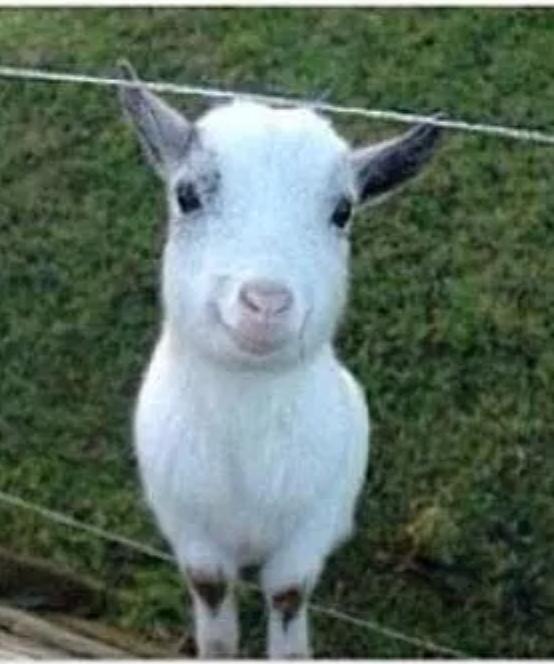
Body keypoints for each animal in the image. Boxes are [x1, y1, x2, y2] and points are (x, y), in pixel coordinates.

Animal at [119, 66, 440, 658]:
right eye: (187, 194)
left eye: (343, 210)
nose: (266, 303)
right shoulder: (190, 531)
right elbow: (212, 597)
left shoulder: (306, 529)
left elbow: (288, 595)